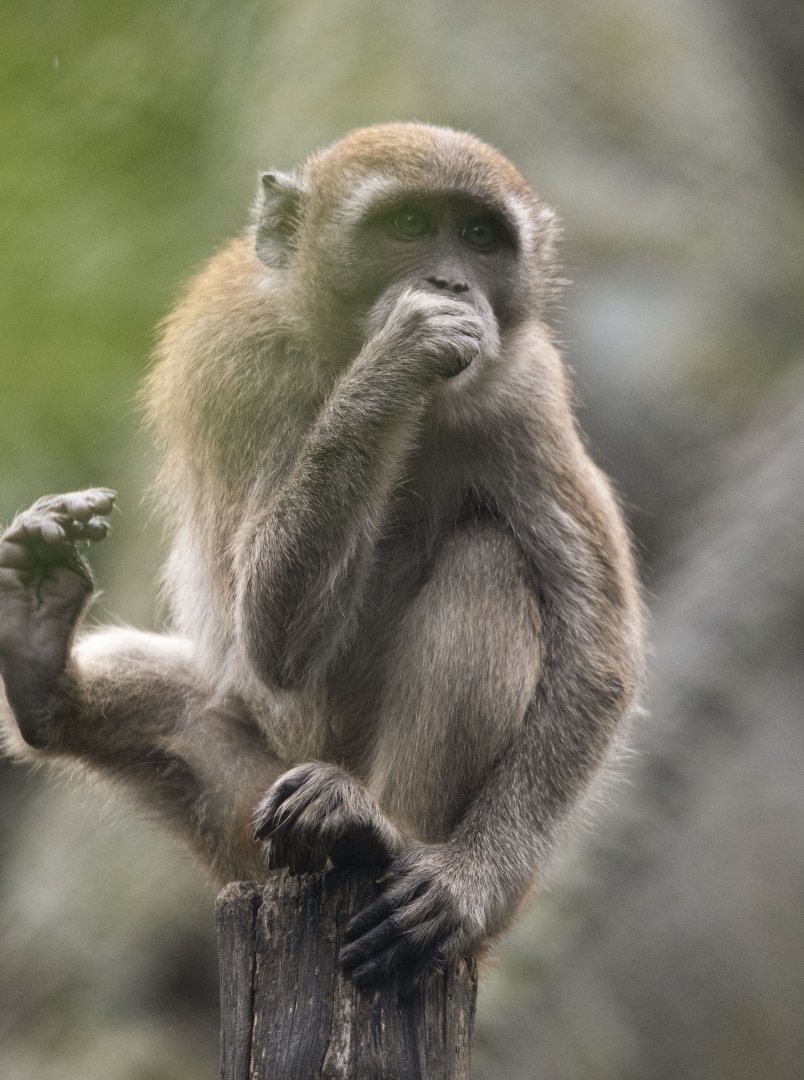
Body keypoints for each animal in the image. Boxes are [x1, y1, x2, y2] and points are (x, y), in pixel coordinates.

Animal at [0, 123, 645, 992]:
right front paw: (398, 357)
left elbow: (596, 651)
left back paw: (378, 829)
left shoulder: (525, 393)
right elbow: (270, 637)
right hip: (251, 815)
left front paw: (469, 879)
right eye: (409, 225)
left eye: (481, 237)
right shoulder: (236, 365)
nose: (450, 281)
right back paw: (43, 673)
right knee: (191, 716)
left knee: (488, 562)